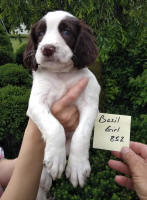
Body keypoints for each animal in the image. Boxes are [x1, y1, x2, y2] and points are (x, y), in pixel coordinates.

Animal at [23, 10, 100, 199]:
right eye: (40, 33)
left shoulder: (90, 103)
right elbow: (54, 125)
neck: (60, 75)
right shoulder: (36, 103)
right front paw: (56, 159)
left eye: (66, 31)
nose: (47, 48)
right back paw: (44, 177)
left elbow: (82, 134)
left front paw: (78, 166)